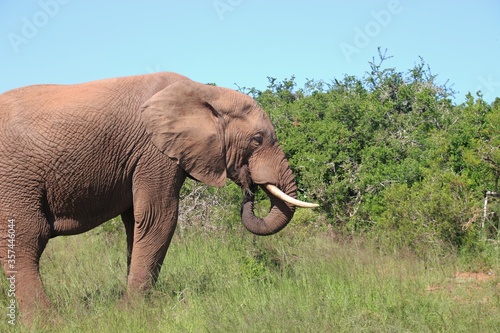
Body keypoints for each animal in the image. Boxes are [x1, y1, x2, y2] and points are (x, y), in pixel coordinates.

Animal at [0, 72, 316, 322]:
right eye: (257, 139)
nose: (249, 186)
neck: (204, 92)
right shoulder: (154, 152)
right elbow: (158, 218)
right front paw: (131, 312)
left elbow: (136, 223)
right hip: (16, 181)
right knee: (26, 240)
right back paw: (48, 321)